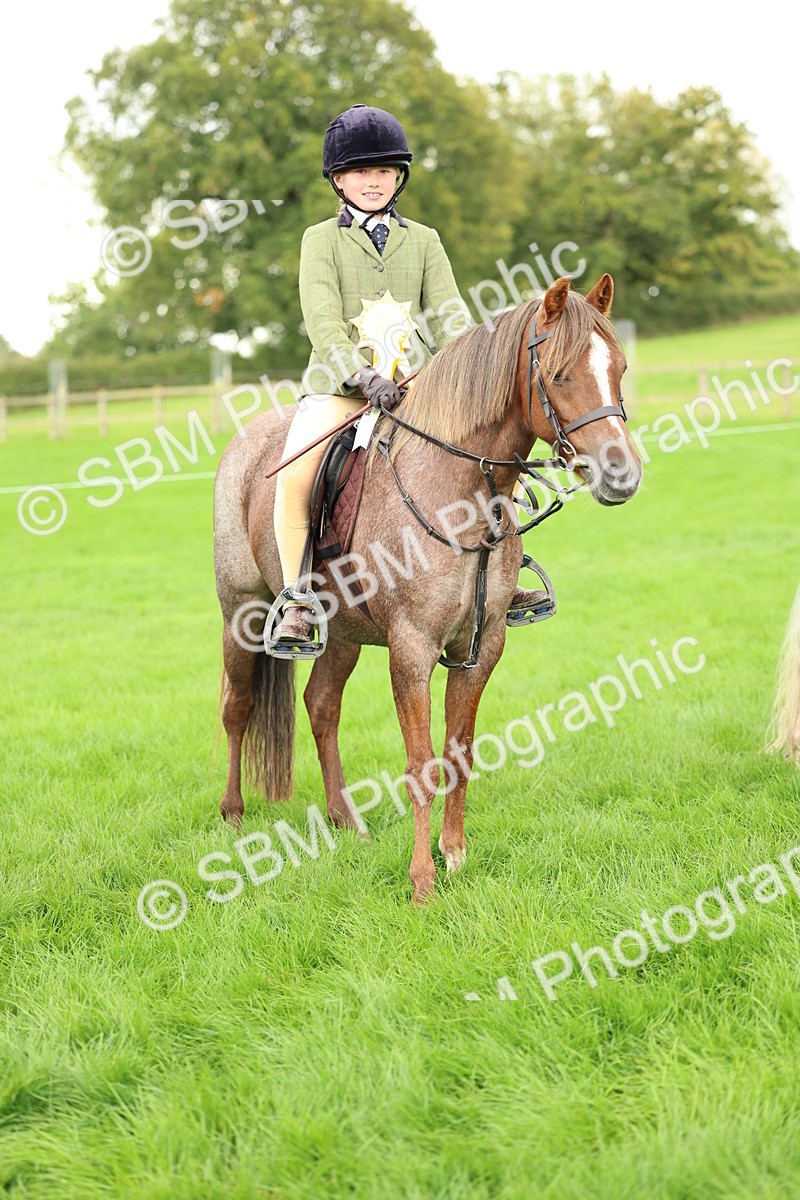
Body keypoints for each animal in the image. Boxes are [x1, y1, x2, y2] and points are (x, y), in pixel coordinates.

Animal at [213, 273, 643, 902]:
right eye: (560, 374)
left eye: (619, 368)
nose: (622, 475)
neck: (456, 496)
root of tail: (243, 442)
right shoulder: (411, 649)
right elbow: (419, 765)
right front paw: (422, 883)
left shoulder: (478, 649)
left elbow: (458, 753)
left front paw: (455, 856)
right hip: (240, 614)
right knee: (238, 708)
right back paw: (233, 816)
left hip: (342, 633)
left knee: (321, 706)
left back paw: (347, 821)